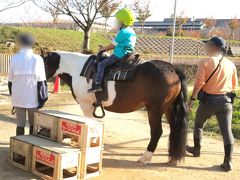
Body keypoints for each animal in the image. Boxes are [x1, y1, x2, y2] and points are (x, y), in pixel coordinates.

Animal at [42, 50, 188, 165]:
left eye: (43, 64)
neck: (78, 70)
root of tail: (172, 69)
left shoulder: (86, 104)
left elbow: (90, 123)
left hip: (155, 110)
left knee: (157, 132)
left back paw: (145, 157)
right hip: (169, 109)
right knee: (174, 130)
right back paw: (173, 158)